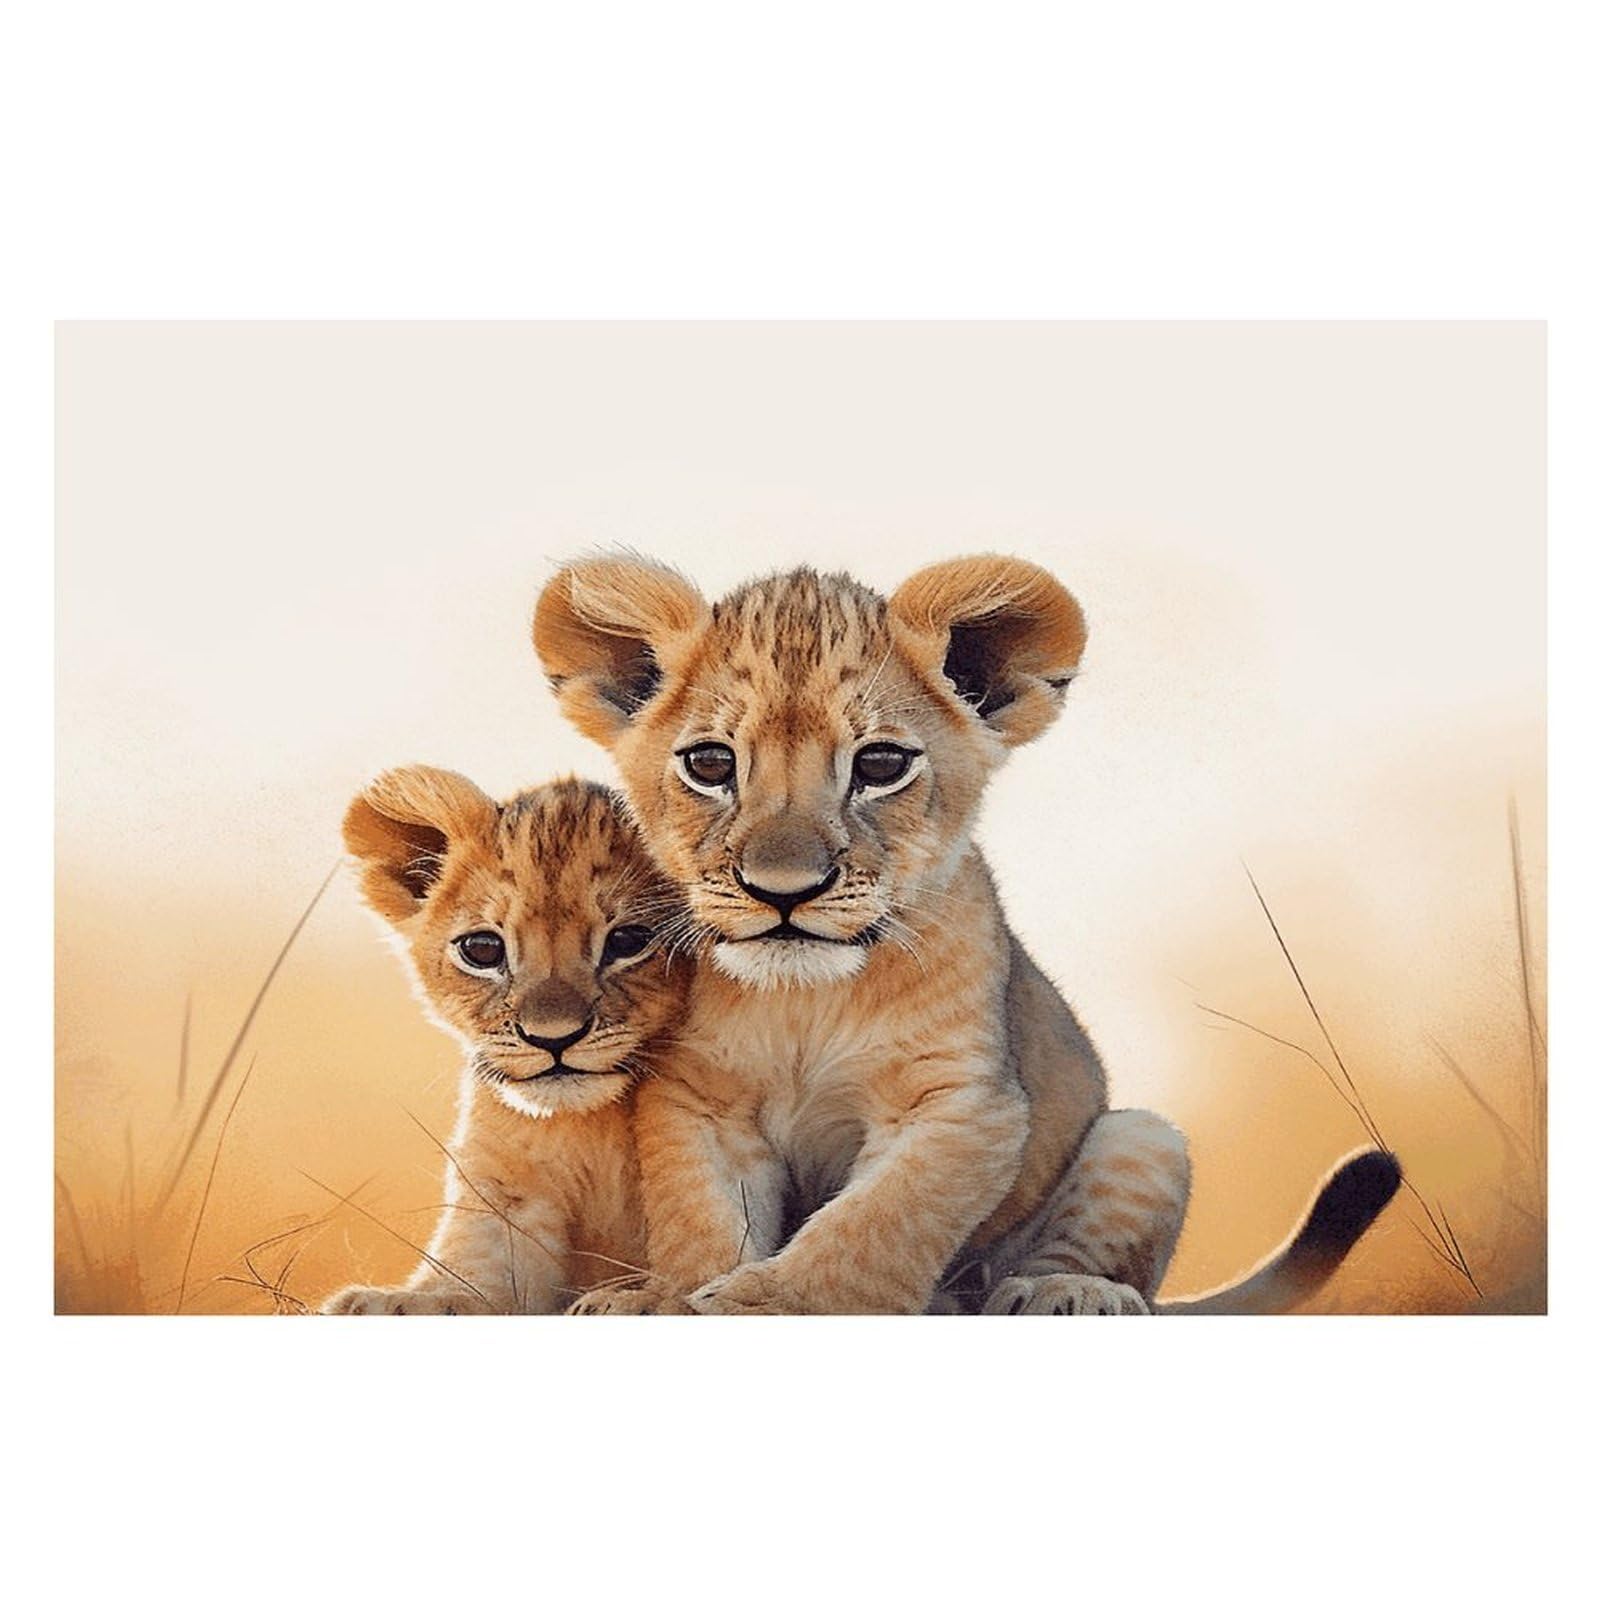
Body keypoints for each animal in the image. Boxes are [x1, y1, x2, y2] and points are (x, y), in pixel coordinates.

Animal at [320, 766, 688, 1314]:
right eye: (482, 949)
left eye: (628, 941)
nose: (553, 1039)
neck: (589, 1128)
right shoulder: (505, 1195)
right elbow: (465, 1286)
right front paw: (383, 1304)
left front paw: (632, 1300)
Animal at [533, 554, 1400, 1314]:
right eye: (711, 765)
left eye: (881, 764)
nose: (784, 891)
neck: (802, 1000)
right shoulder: (700, 1103)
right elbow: (702, 1220)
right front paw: (669, 1299)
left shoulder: (963, 1103)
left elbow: (876, 1224)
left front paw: (778, 1303)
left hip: (1146, 1138)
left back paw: (1060, 1292)